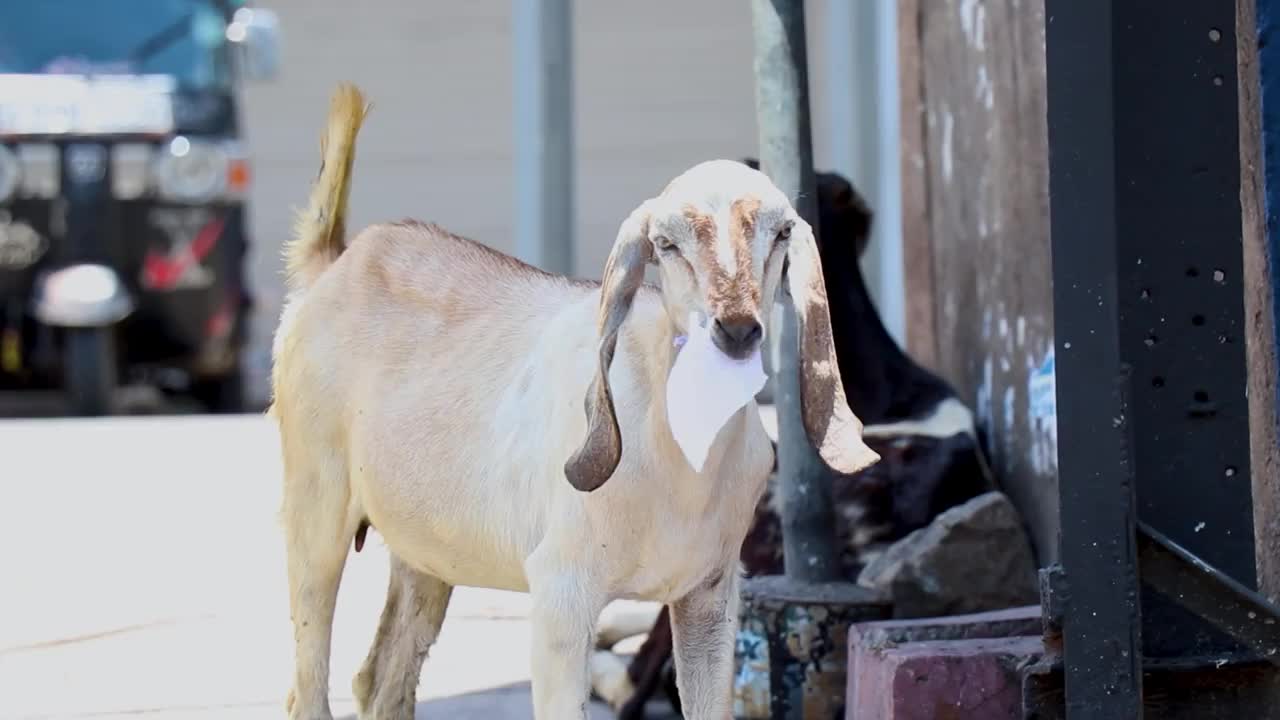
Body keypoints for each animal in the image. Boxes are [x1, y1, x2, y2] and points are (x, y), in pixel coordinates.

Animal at [273, 83, 875, 717]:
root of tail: (331, 266)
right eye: (666, 243)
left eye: (781, 233)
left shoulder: (709, 596)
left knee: (381, 679)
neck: (680, 459)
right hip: (315, 507)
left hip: (426, 546)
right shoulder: (561, 594)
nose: (735, 330)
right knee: (307, 683)